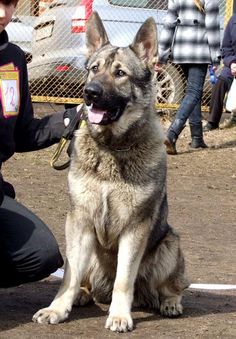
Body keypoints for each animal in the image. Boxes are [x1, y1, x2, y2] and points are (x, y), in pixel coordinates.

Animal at [32, 11, 188, 334]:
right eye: (95, 69)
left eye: (120, 74)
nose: (89, 94)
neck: (111, 149)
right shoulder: (79, 222)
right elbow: (69, 276)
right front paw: (58, 308)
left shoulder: (134, 228)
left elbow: (123, 280)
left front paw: (119, 316)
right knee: (85, 280)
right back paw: (82, 294)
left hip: (170, 245)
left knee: (171, 286)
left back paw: (170, 302)